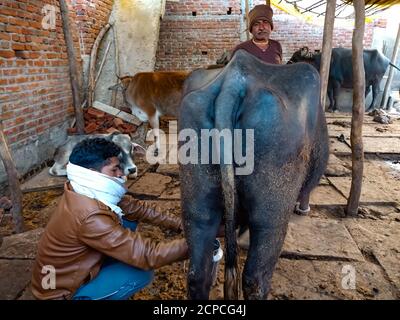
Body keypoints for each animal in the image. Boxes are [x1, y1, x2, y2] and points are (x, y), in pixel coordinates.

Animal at [180, 50, 330, 300]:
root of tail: (233, 82)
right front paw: (303, 209)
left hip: (197, 201)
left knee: (197, 273)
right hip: (271, 213)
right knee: (255, 278)